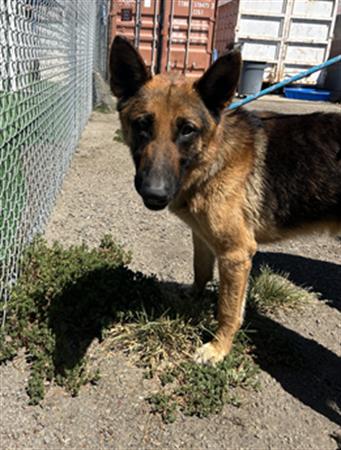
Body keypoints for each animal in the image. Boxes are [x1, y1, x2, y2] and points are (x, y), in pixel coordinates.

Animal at [109, 36, 340, 366]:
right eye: (142, 125)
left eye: (187, 130)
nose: (155, 194)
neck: (212, 158)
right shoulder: (204, 238)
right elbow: (201, 272)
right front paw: (193, 298)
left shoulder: (236, 254)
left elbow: (228, 309)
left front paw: (219, 348)